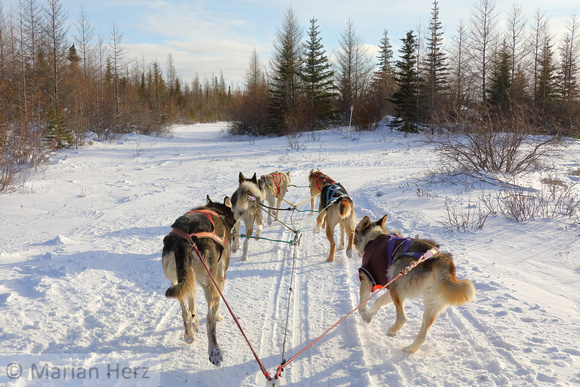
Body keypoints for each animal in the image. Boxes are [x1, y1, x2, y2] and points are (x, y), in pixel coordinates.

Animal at [161, 197, 236, 366]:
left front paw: (194, 321)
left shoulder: (191, 279)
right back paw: (214, 351)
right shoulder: (220, 276)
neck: (216, 211)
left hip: (177, 280)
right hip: (209, 283)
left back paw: (189, 334)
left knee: (184, 311)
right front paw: (219, 316)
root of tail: (184, 241)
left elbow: (191, 304)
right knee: (209, 320)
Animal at [354, 215, 476, 354]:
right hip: (430, 303)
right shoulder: (390, 288)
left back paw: (391, 331)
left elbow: (361, 307)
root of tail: (440, 258)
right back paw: (409, 348)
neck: (374, 237)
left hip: (396, 283)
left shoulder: (367, 278)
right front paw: (371, 312)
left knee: (402, 319)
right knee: (422, 336)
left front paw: (366, 315)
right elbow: (378, 301)